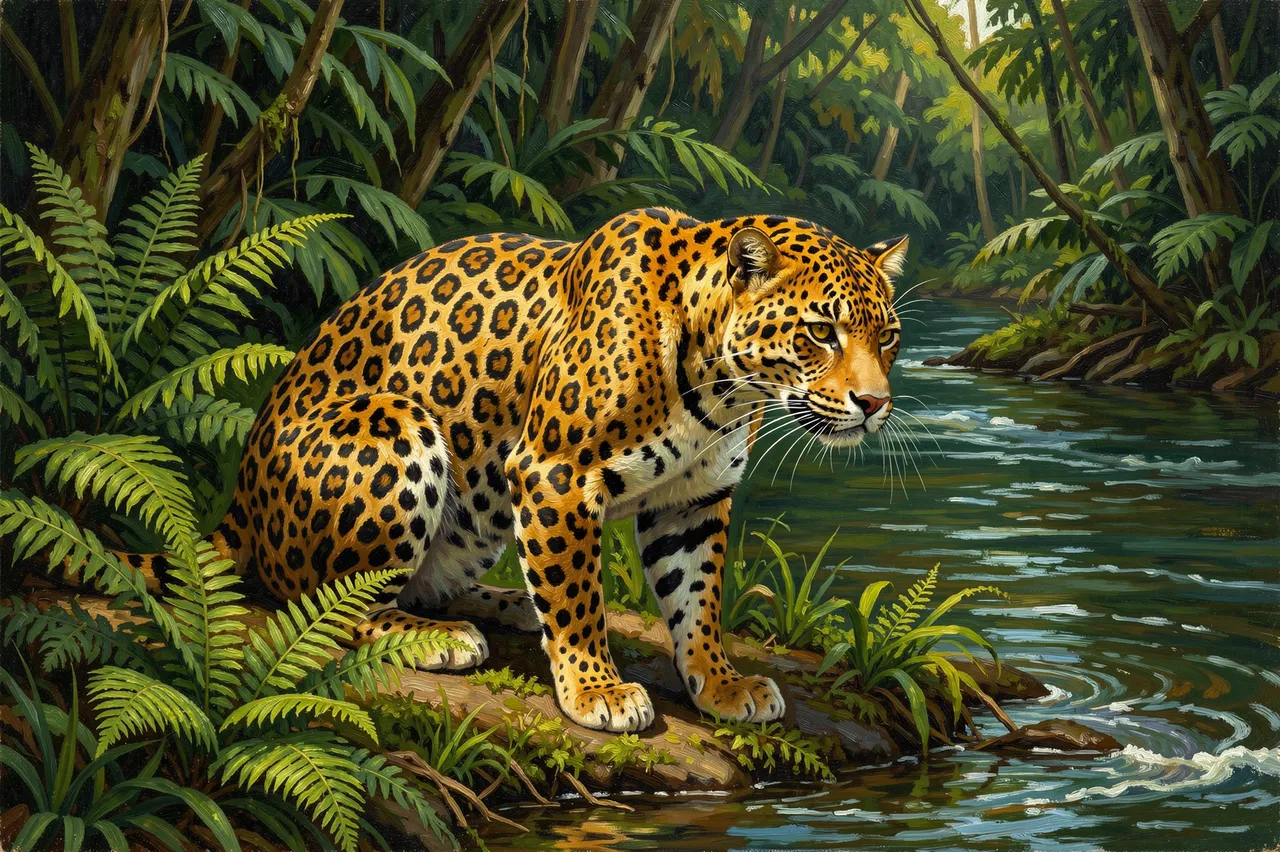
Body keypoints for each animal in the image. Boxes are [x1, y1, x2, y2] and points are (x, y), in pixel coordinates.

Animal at [139, 208, 908, 733]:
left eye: (889, 338)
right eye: (820, 332)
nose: (875, 404)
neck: (721, 389)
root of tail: (240, 498)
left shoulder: (695, 501)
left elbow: (698, 599)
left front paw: (720, 684)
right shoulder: (556, 474)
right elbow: (575, 596)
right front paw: (598, 691)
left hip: (478, 510)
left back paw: (501, 602)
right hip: (400, 427)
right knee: (324, 602)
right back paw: (437, 637)